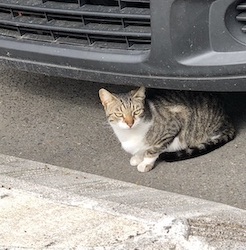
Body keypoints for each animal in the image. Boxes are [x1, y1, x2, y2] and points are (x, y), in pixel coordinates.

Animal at [98, 87, 234, 172]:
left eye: (136, 112)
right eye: (119, 114)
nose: (130, 123)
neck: (130, 134)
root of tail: (228, 119)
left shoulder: (174, 125)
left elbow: (153, 150)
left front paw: (146, 163)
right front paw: (138, 157)